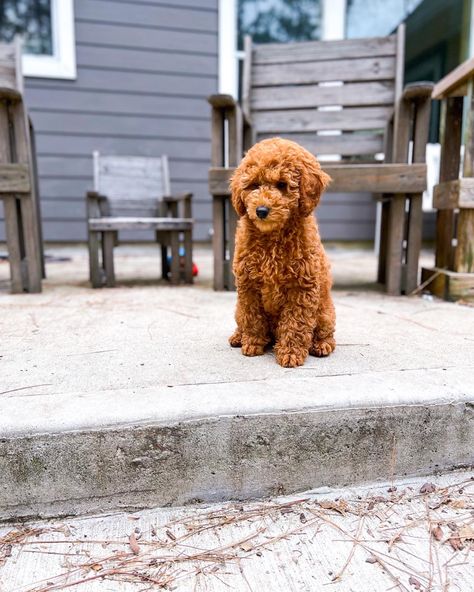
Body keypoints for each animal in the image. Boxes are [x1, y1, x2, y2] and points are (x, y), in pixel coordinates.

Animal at [229, 139, 334, 370]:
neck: (272, 237)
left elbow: (296, 322)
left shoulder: (302, 287)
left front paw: (291, 353)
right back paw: (238, 336)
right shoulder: (248, 285)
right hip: (237, 309)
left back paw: (321, 345)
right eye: (254, 185)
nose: (261, 210)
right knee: (242, 319)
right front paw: (252, 343)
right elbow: (252, 316)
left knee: (325, 331)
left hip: (325, 311)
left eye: (282, 185)